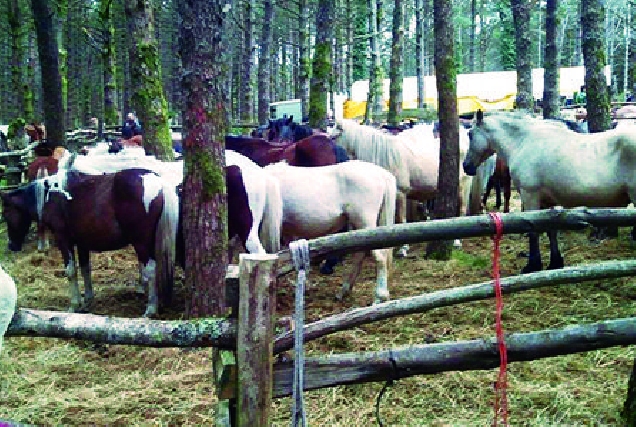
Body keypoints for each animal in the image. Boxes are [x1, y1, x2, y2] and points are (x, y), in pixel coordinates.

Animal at [1, 171, 179, 318]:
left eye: (6, 212)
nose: (11, 245)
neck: (50, 197)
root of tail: (157, 180)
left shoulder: (63, 240)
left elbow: (71, 271)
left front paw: (74, 305)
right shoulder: (82, 244)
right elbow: (85, 268)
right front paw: (87, 299)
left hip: (141, 243)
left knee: (151, 270)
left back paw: (150, 309)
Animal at [462, 112, 636, 274]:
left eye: (470, 134)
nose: (466, 166)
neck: (523, 141)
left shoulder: (530, 196)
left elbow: (534, 231)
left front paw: (532, 266)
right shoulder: (549, 202)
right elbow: (551, 229)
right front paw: (555, 263)